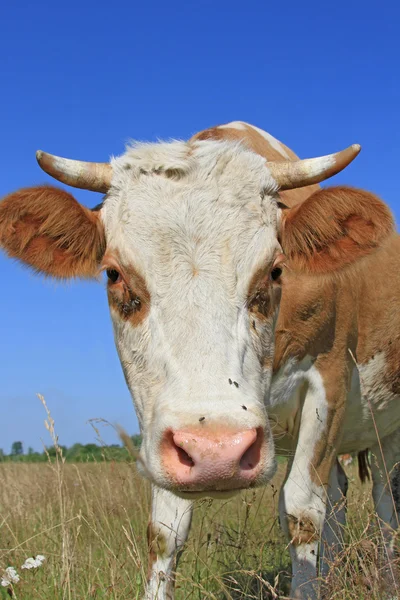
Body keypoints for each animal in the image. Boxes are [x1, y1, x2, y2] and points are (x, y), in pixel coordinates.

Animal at [0, 122, 400, 600]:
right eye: (114, 275)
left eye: (275, 270)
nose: (217, 453)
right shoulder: (161, 418)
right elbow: (165, 528)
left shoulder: (329, 382)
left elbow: (303, 511)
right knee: (341, 492)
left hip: (384, 426)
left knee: (385, 497)